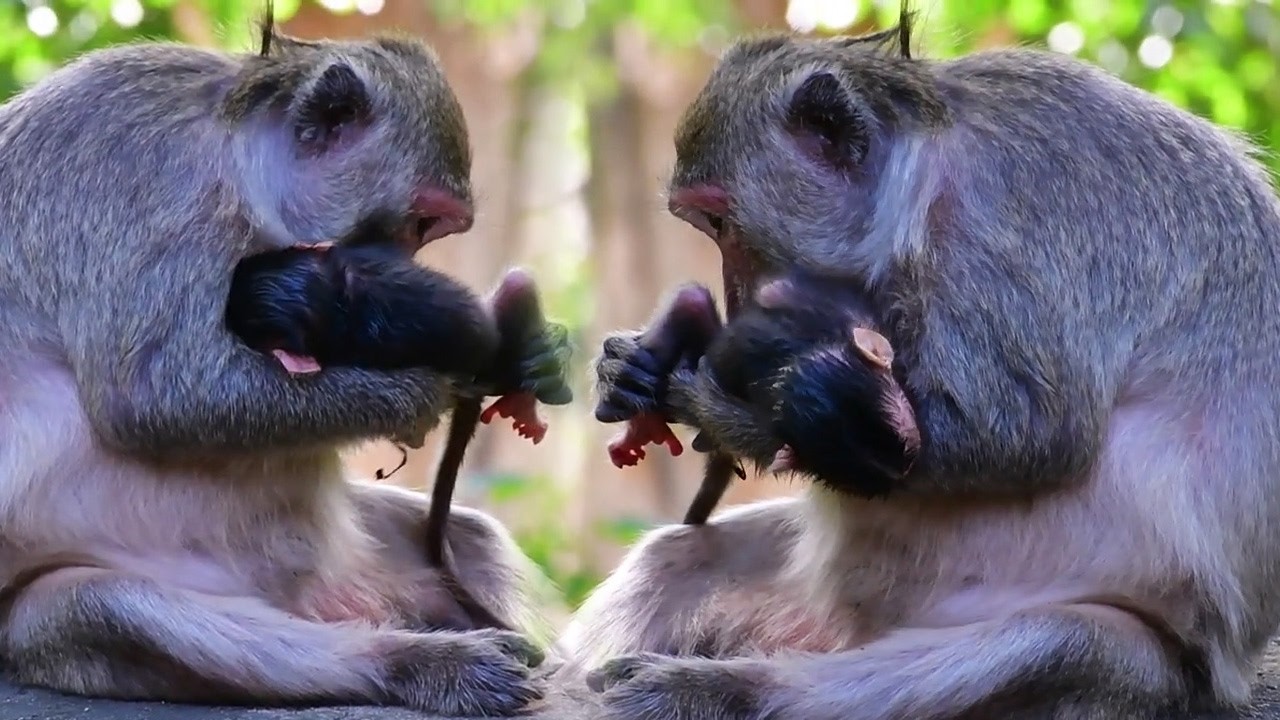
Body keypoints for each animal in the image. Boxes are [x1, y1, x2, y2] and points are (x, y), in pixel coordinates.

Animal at [0, 9, 573, 716]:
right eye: (421, 222)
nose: (409, 271)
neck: (231, 155)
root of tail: (335, 601)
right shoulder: (145, 183)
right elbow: (154, 399)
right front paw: (423, 393)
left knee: (468, 533)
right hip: (43, 624)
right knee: (103, 606)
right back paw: (416, 662)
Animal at [562, 4, 1280, 719]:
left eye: (718, 222)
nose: (737, 301)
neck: (924, 174)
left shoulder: (1012, 214)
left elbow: (1028, 432)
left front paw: (718, 402)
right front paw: (638, 367)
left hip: (1144, 674)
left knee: (1050, 644)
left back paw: (717, 691)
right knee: (675, 560)